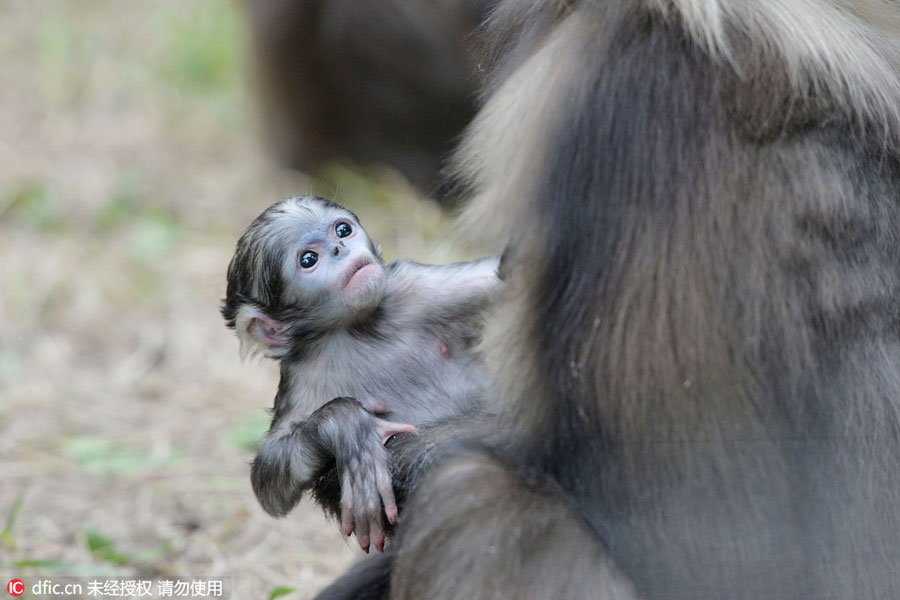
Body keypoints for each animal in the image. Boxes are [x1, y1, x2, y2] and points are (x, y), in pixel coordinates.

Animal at [220, 197, 500, 552]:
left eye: (342, 230)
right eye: (308, 259)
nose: (339, 247)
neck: (355, 330)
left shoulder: (414, 286)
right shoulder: (300, 383)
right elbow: (268, 483)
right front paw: (348, 428)